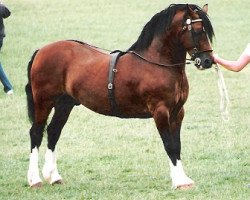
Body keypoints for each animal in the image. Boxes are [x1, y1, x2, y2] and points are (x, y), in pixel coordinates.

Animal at [25, 3, 215, 190]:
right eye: (198, 30)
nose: (208, 61)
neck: (157, 63)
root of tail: (41, 51)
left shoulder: (177, 112)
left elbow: (177, 145)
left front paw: (183, 179)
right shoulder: (160, 112)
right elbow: (170, 146)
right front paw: (179, 181)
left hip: (64, 104)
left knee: (53, 131)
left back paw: (53, 176)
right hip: (43, 101)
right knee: (36, 133)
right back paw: (34, 179)